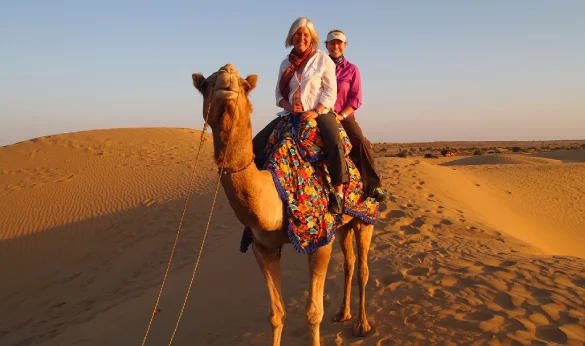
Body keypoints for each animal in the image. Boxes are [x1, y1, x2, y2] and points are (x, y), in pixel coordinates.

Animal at [192, 63, 374, 344]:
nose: (226, 77)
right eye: (205, 85)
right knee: (350, 262)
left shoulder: (320, 240)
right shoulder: (263, 247)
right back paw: (343, 313)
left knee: (363, 267)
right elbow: (276, 314)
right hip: (344, 224)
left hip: (367, 217)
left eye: (245, 85)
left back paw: (362, 325)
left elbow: (313, 313)